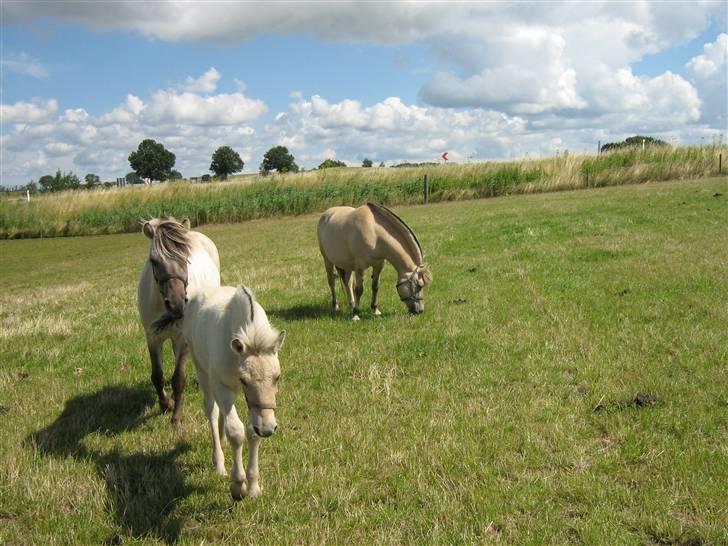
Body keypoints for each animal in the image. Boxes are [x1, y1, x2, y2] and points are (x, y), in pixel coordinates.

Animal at [138, 215, 220, 422]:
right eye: (154, 261)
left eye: (186, 259)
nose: (176, 304)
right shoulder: (152, 337)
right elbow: (157, 376)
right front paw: (165, 405)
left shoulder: (183, 338)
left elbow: (179, 379)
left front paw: (176, 418)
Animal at [181, 284, 284, 498]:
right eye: (244, 380)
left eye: (277, 377)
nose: (268, 429)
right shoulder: (222, 386)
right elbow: (236, 431)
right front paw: (238, 485)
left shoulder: (254, 408)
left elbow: (251, 431)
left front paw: (253, 487)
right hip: (203, 371)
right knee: (212, 411)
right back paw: (219, 463)